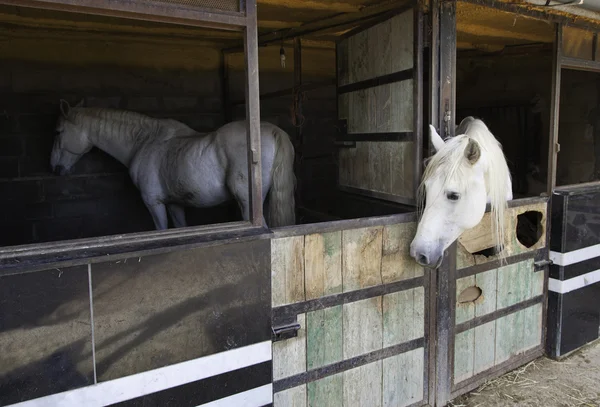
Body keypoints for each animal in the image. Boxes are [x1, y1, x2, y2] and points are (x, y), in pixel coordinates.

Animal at [50, 101, 296, 231]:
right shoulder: (175, 204)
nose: (54, 168)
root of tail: (273, 131)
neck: (145, 142)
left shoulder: (154, 203)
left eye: (58, 132)